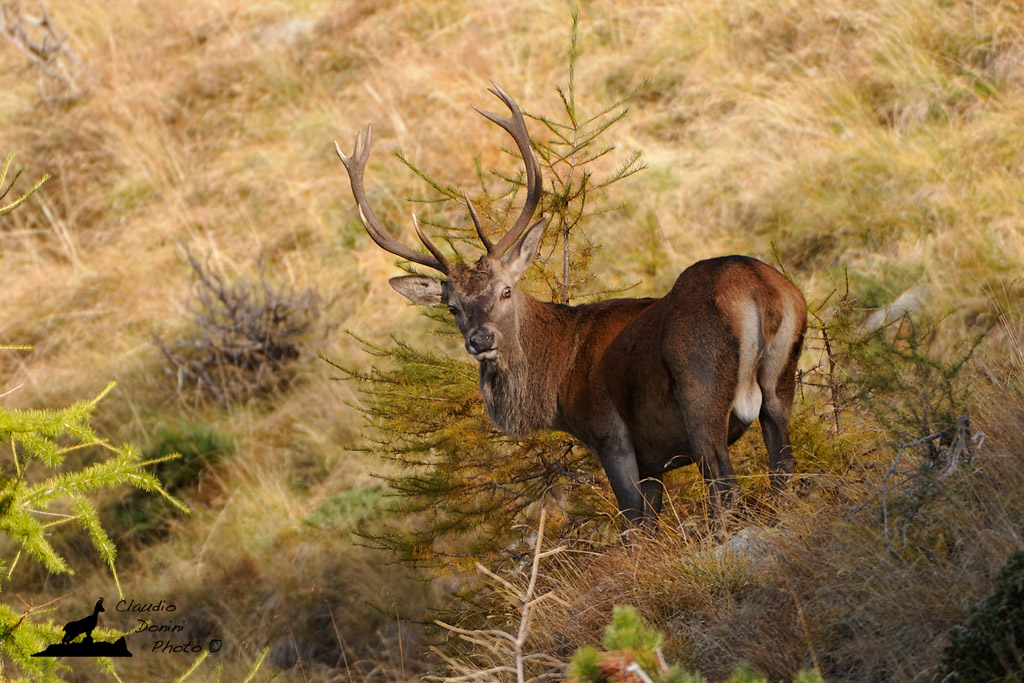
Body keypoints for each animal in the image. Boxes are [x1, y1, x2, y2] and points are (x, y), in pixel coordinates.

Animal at [335, 85, 808, 529]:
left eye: (506, 290)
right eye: (452, 307)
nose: (481, 339)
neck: (560, 380)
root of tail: (759, 289)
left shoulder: (610, 435)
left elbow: (634, 526)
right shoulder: (653, 458)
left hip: (701, 389)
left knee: (725, 490)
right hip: (782, 379)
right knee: (783, 466)